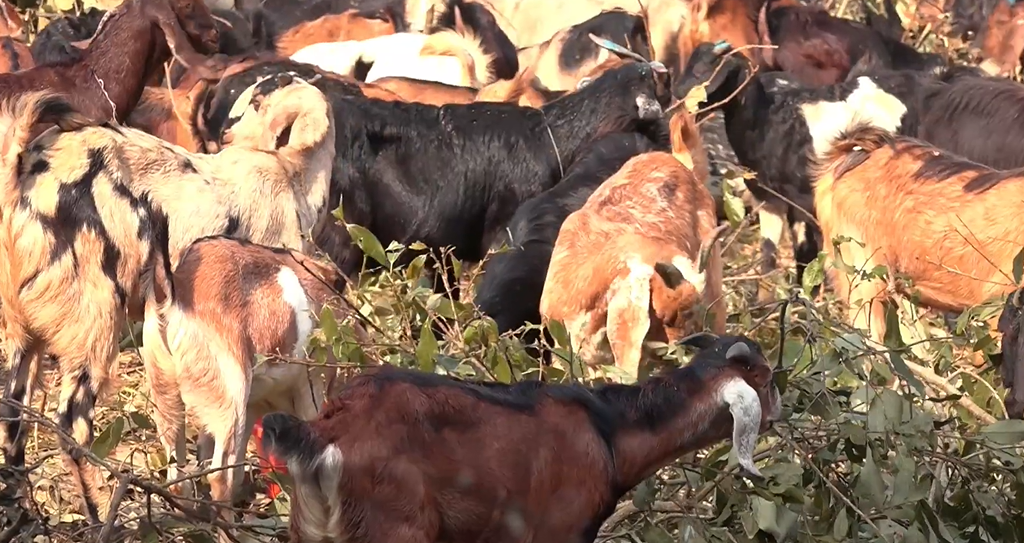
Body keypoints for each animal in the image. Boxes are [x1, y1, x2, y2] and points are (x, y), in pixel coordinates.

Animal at [260, 331, 778, 540]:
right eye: (764, 377)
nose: (778, 409)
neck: (609, 431)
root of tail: (324, 432)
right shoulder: (558, 530)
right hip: (395, 527)